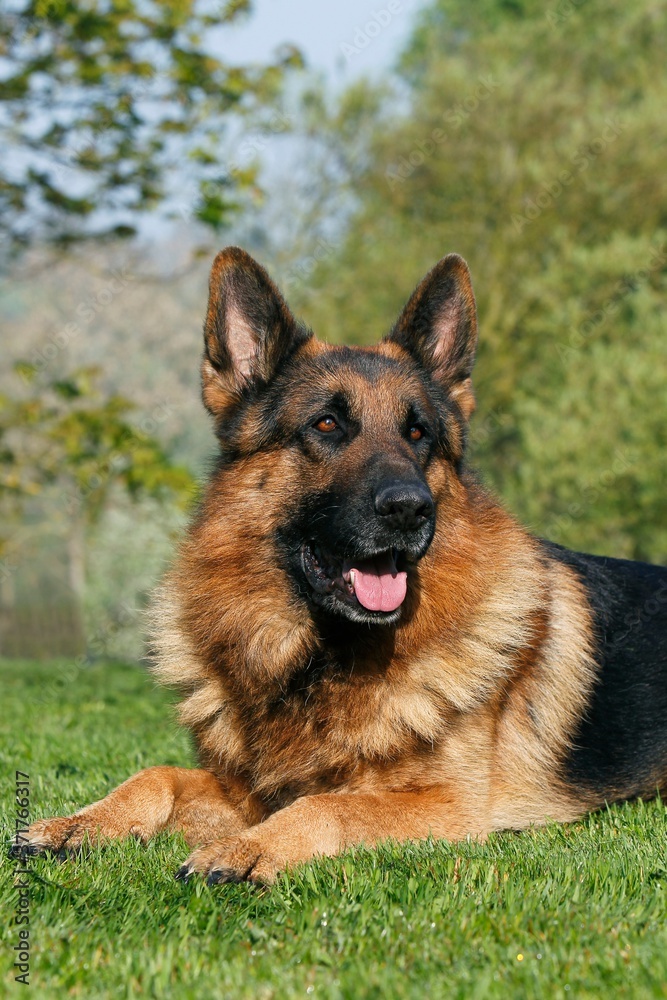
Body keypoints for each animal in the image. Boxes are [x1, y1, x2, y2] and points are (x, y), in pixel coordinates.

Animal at [18, 248, 667, 884]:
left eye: (418, 433)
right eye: (326, 424)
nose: (410, 509)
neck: (318, 659)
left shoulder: (448, 806)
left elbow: (326, 804)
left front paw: (248, 850)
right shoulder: (245, 790)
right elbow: (157, 774)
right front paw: (82, 823)